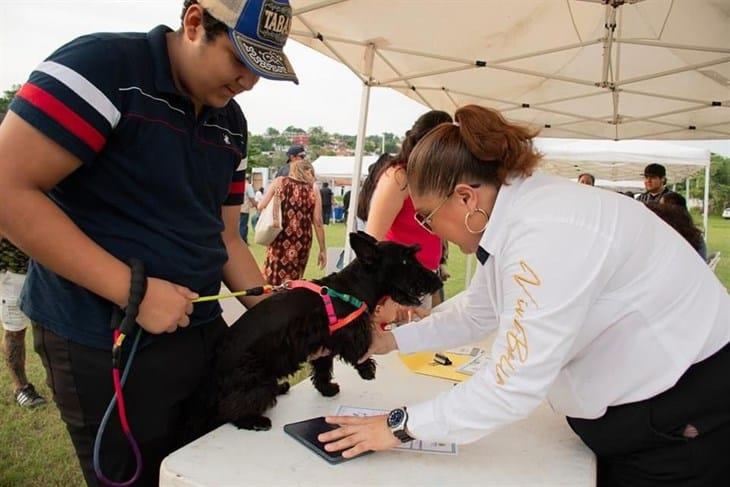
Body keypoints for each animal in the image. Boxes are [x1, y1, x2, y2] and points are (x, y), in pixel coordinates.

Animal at [208, 233, 440, 430]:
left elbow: (322, 370)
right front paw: (367, 369)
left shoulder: (323, 345)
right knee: (231, 409)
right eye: (405, 261)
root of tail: (219, 355)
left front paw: (326, 389)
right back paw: (254, 420)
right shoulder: (346, 334)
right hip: (254, 380)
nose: (437, 281)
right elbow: (357, 349)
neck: (352, 288)